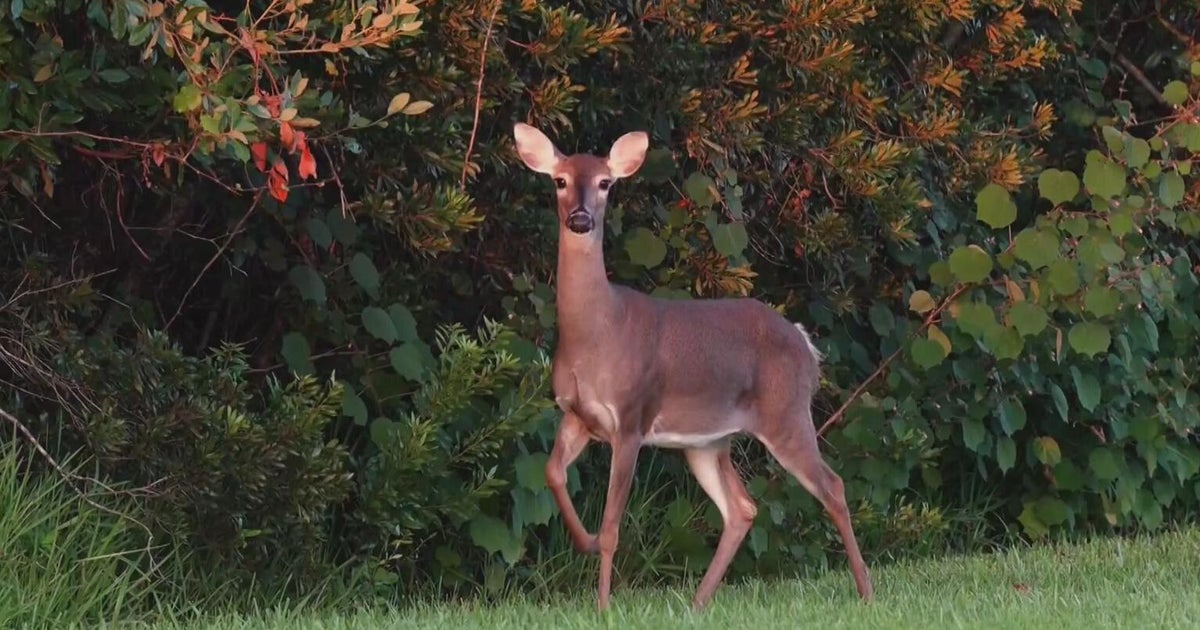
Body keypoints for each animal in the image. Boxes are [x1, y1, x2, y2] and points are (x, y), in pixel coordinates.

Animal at [511, 121, 874, 612]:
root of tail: (803, 341)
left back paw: (866, 591)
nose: (581, 220)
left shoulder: (632, 419)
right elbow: (552, 473)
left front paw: (603, 606)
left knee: (832, 487)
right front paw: (584, 542)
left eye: (605, 183)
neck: (597, 332)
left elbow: (613, 526)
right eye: (560, 180)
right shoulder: (577, 415)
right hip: (707, 441)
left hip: (785, 413)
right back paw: (697, 602)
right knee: (741, 508)